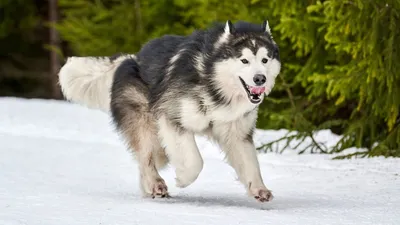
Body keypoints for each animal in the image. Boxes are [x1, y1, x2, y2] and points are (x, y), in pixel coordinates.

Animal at [58, 19, 282, 202]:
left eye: (265, 60)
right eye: (244, 60)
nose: (260, 79)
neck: (211, 81)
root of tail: (131, 58)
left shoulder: (236, 132)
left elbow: (250, 164)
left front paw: (259, 189)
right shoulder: (173, 118)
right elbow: (195, 162)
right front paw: (183, 179)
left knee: (148, 159)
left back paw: (149, 186)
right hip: (145, 122)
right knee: (147, 157)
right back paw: (155, 184)